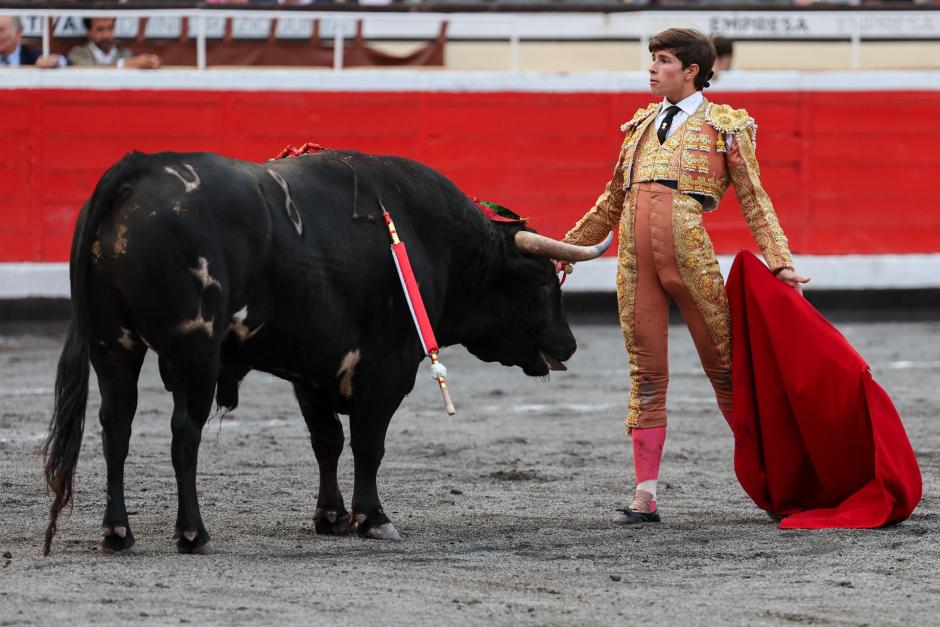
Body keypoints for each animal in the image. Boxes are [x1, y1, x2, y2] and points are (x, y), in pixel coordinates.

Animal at [44, 151, 612, 556]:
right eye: (542, 284)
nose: (569, 343)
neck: (435, 242)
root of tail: (137, 169)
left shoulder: (310, 372)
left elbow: (327, 443)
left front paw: (331, 517)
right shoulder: (387, 369)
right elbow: (368, 444)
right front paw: (372, 518)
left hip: (112, 345)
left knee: (115, 425)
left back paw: (117, 532)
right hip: (193, 351)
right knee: (184, 431)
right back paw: (192, 533)